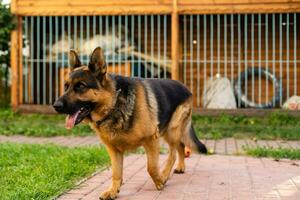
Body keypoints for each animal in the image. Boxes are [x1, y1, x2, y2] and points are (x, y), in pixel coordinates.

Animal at [52, 47, 206, 200]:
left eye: (81, 86)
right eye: (66, 86)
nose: (56, 105)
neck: (113, 103)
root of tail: (184, 86)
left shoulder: (151, 139)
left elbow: (151, 167)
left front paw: (160, 181)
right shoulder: (114, 150)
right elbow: (116, 172)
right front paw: (113, 190)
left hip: (171, 130)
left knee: (173, 153)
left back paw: (165, 174)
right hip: (169, 132)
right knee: (180, 145)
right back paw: (180, 167)